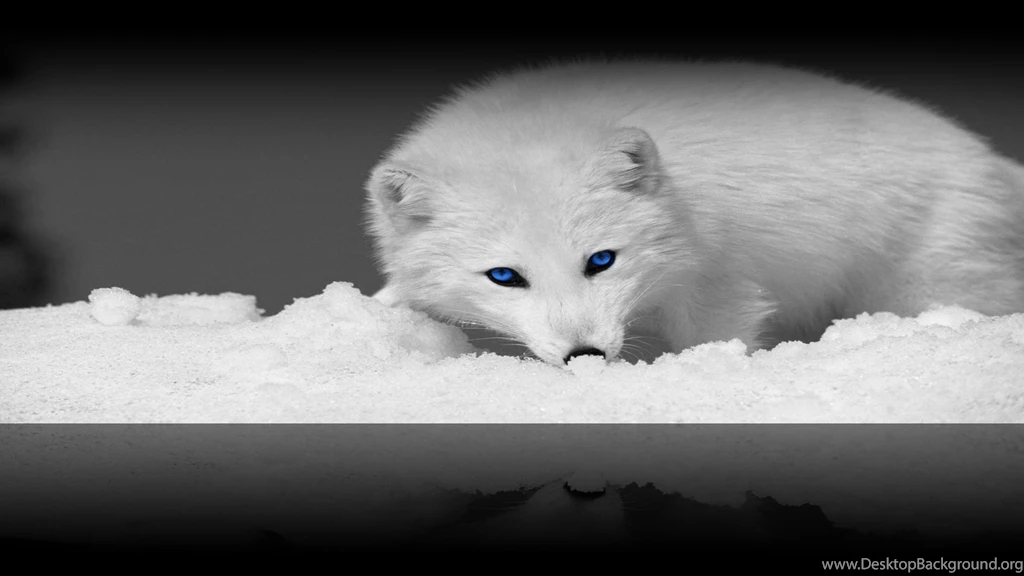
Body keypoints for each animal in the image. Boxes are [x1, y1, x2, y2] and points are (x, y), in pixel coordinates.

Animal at [363, 59, 1024, 367]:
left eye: (601, 261)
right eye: (504, 276)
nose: (585, 357)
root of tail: (991, 159)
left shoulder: (720, 284)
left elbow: (719, 338)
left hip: (931, 285)